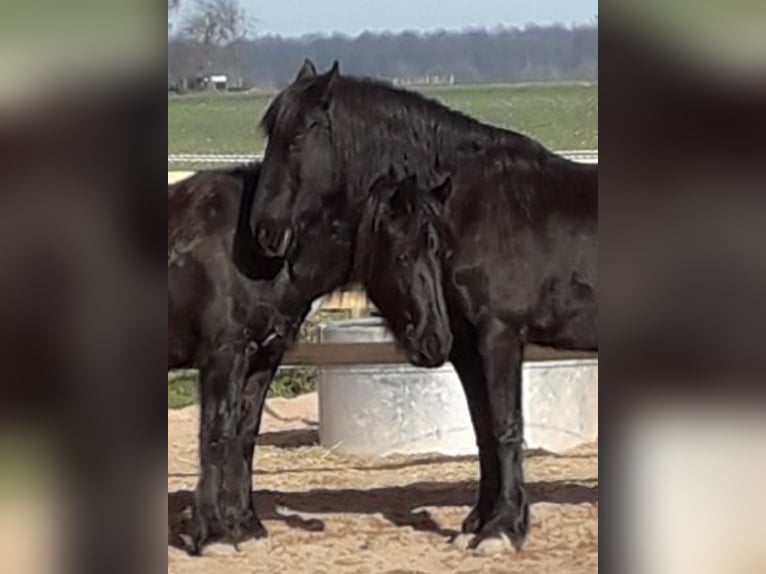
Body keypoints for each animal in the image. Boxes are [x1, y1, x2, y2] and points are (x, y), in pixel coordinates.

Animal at [245, 59, 598, 554]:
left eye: (297, 137)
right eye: (270, 134)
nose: (264, 231)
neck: (468, 204)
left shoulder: (499, 334)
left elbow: (505, 426)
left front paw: (502, 528)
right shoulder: (463, 342)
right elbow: (483, 430)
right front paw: (477, 522)